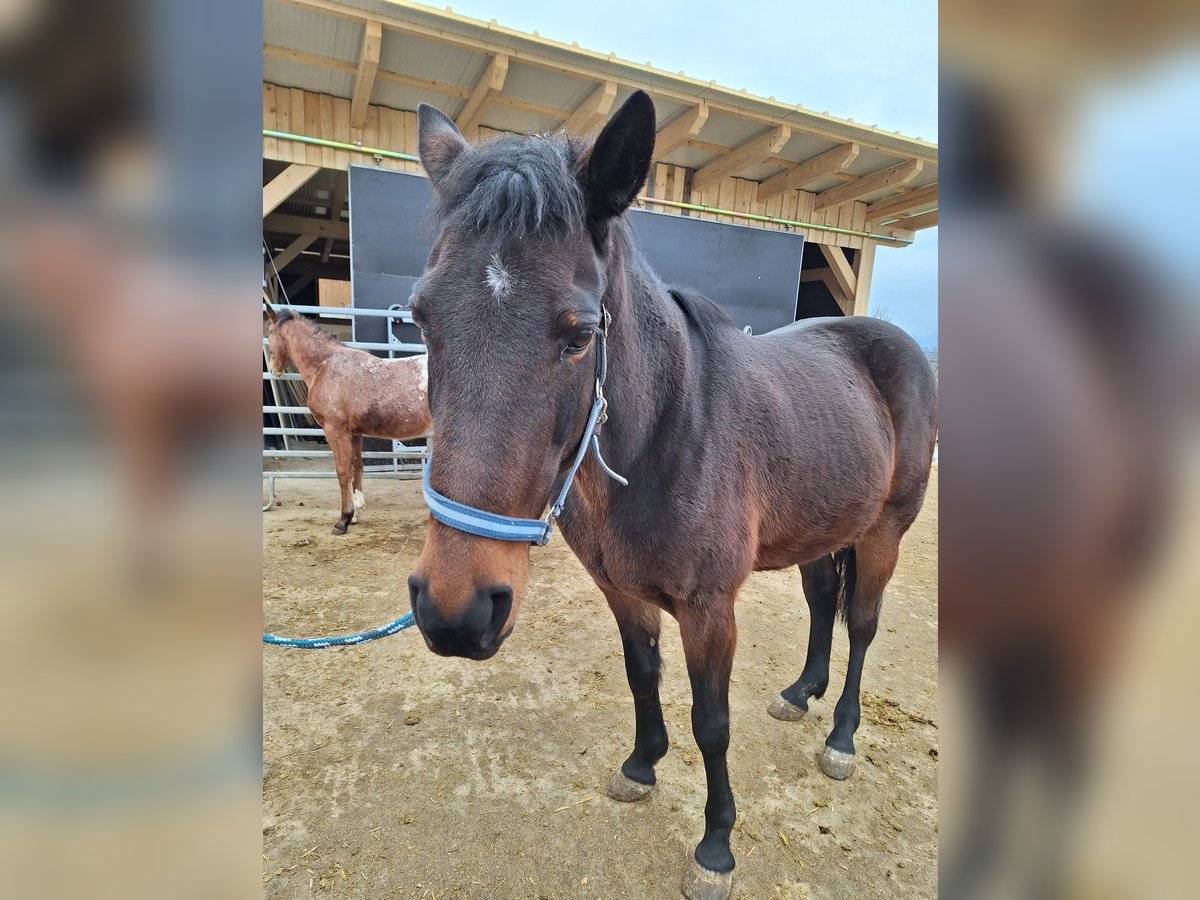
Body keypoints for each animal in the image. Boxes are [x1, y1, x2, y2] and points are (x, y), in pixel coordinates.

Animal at [266, 309, 432, 535]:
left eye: (268, 333)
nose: (273, 370)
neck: (325, 366)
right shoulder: (354, 433)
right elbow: (357, 467)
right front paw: (355, 512)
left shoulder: (335, 431)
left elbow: (343, 472)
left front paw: (343, 520)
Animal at [403, 93, 936, 900]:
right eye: (422, 318)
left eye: (578, 336)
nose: (455, 612)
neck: (669, 433)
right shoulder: (623, 591)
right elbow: (642, 676)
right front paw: (640, 765)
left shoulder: (710, 609)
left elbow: (711, 723)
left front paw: (716, 846)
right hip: (824, 527)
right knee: (822, 604)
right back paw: (799, 693)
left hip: (883, 533)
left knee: (863, 626)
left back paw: (841, 736)